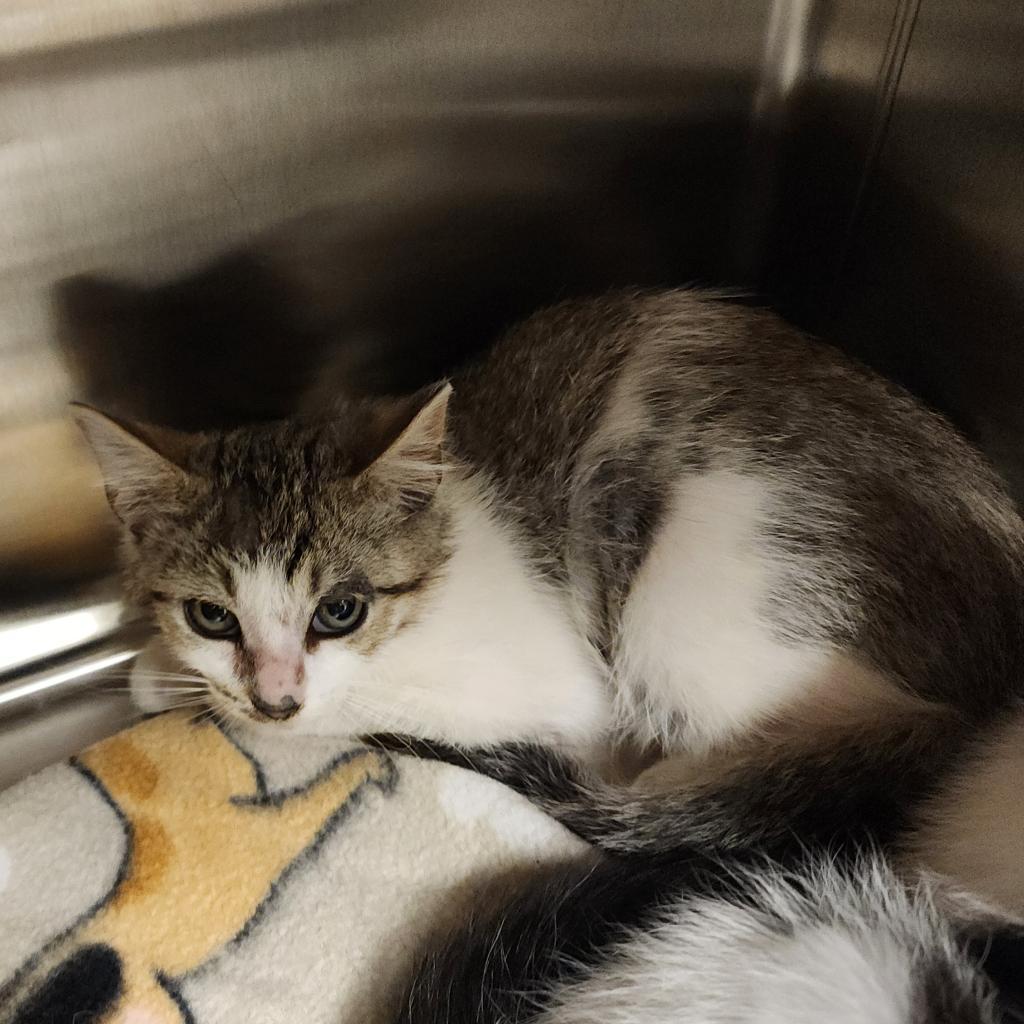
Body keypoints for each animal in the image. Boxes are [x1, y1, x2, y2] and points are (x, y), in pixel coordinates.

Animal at [75, 288, 1024, 897]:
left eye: (339, 611)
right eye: (211, 614)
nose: (273, 699)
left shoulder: (556, 689)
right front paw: (167, 669)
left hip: (695, 582)